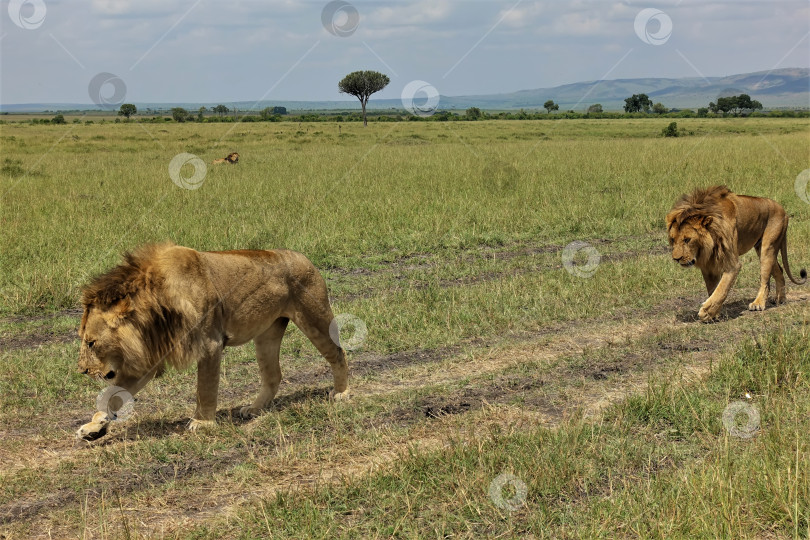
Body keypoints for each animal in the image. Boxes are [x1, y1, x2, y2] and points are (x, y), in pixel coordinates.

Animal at [76, 243, 350, 436]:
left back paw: (342, 393)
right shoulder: (150, 359)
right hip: (267, 333)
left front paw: (202, 422)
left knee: (338, 353)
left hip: (315, 319)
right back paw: (254, 409)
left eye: (91, 343)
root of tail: (303, 257)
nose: (82, 371)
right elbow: (114, 393)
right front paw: (93, 427)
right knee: (273, 375)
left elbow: (205, 388)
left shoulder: (210, 343)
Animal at [664, 186, 800, 320]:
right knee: (779, 270)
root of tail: (782, 209)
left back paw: (758, 303)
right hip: (761, 249)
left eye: (687, 239)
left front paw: (707, 312)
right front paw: (715, 313)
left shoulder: (732, 264)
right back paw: (780, 299)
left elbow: (722, 288)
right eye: (673, 239)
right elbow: (713, 289)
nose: (676, 258)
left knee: (765, 281)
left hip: (767, 248)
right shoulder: (708, 265)